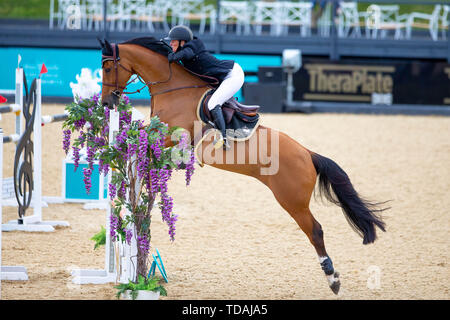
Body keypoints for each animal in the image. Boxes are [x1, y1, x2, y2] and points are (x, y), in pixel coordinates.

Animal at [99, 37, 386, 296]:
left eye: (108, 67)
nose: (107, 103)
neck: (174, 88)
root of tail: (308, 154)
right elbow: (140, 134)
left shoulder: (171, 133)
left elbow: (140, 135)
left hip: (292, 201)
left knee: (315, 231)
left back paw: (332, 279)